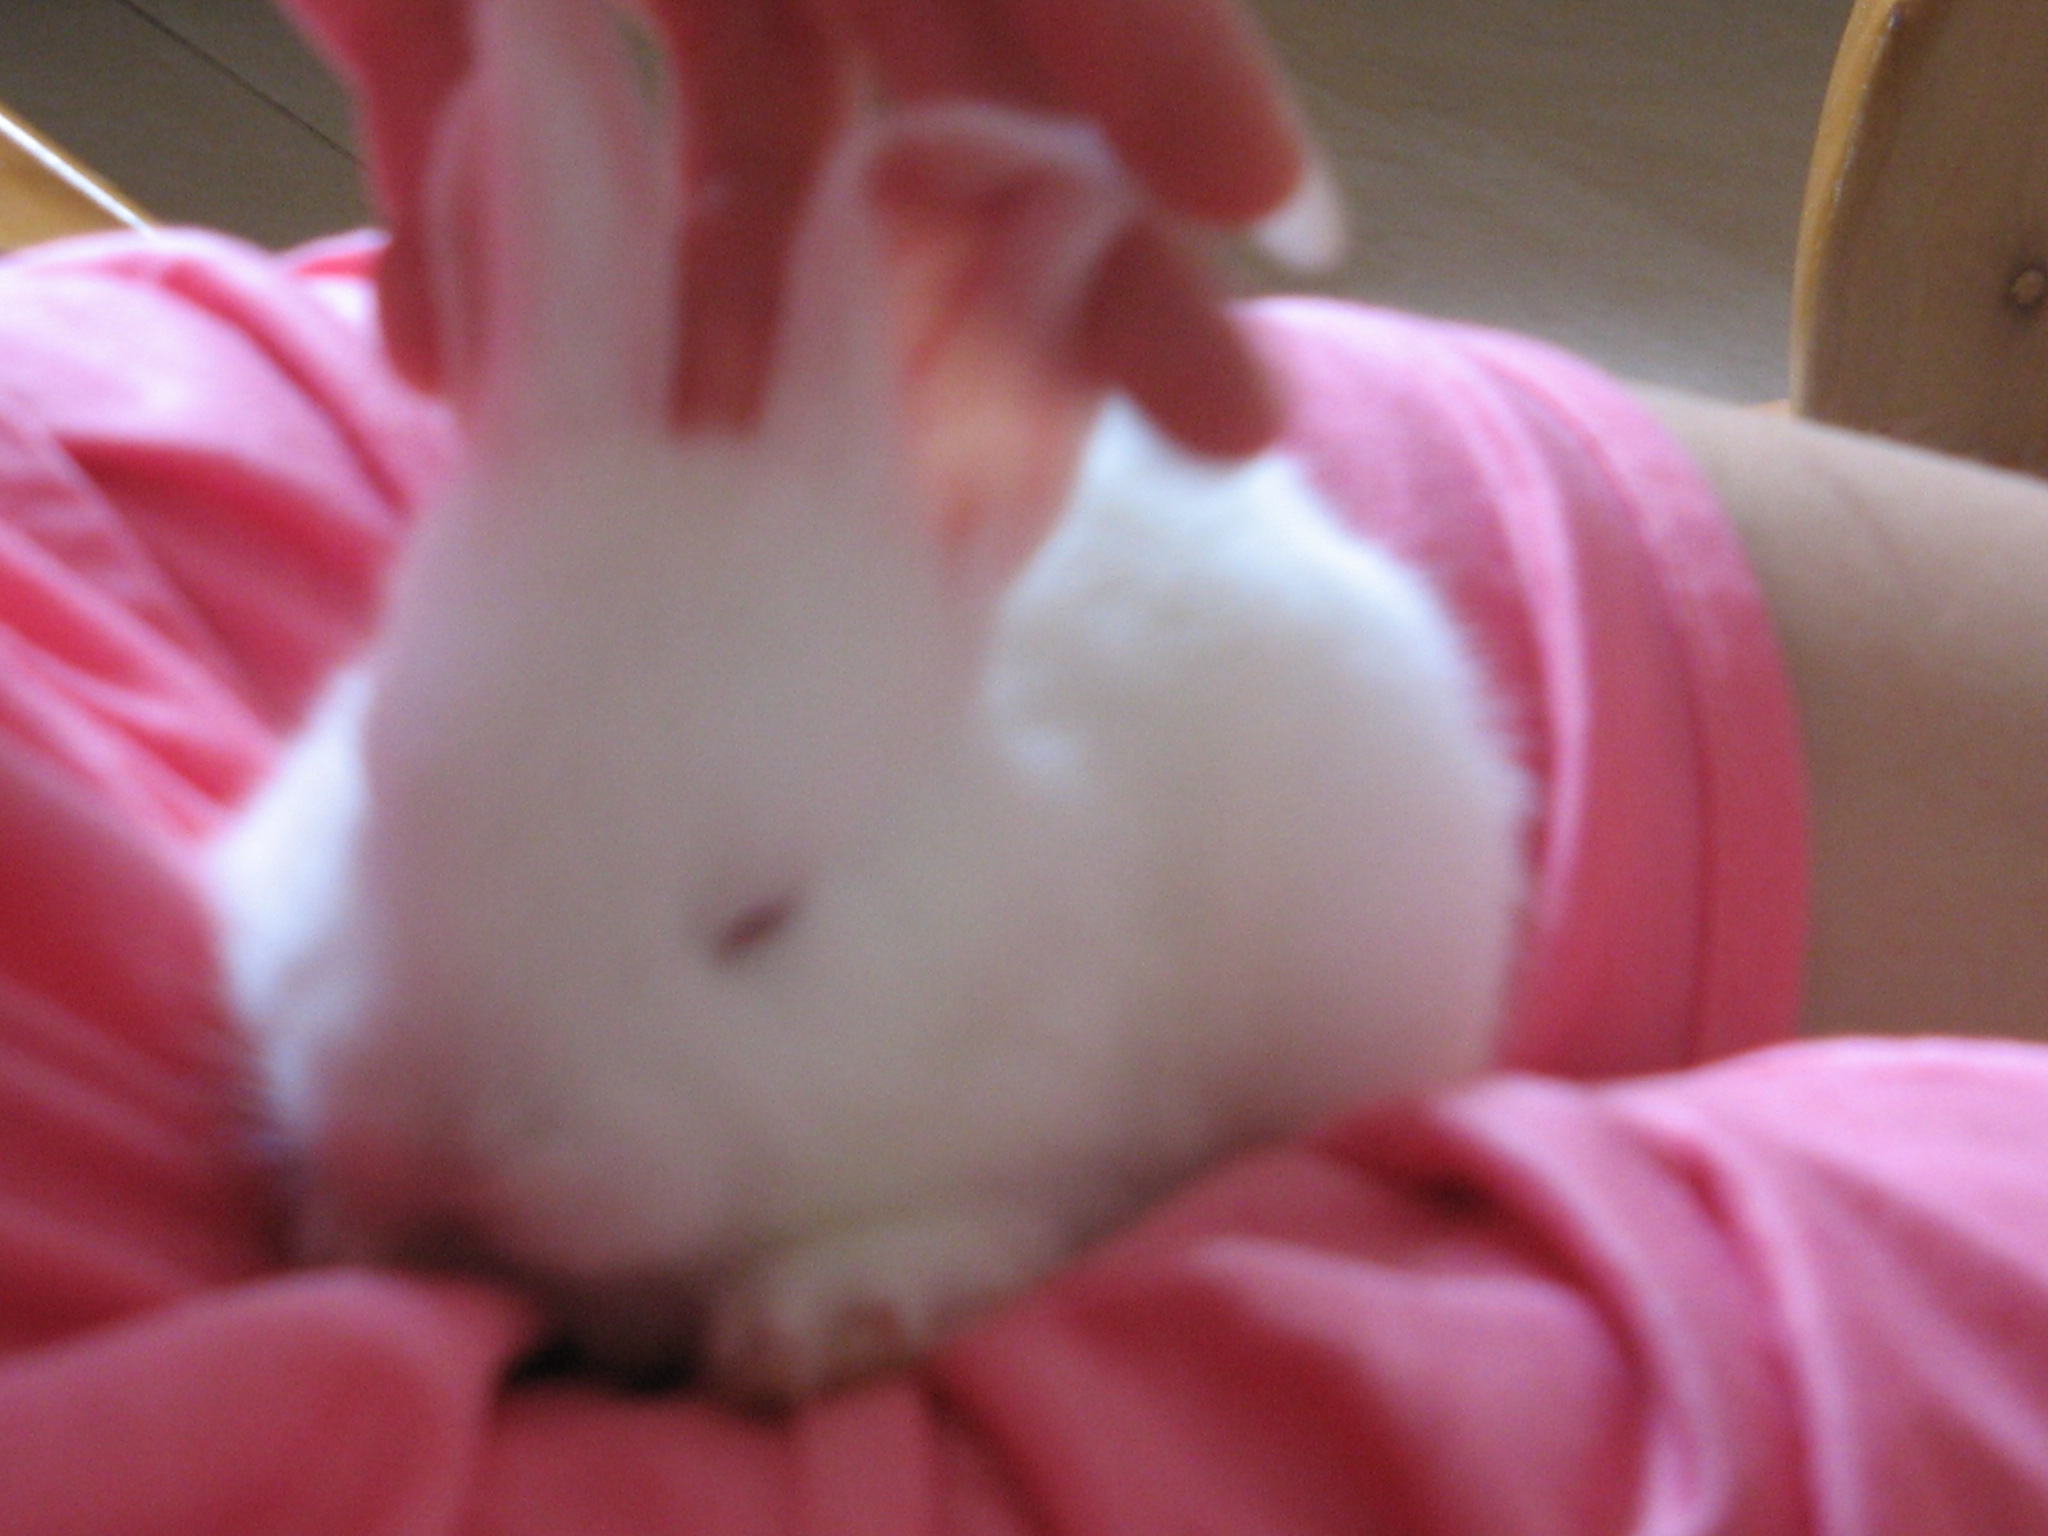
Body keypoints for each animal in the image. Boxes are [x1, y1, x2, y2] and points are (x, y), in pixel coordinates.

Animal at [208, 0, 1529, 1405]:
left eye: (763, 920)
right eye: (375, 792)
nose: (433, 1148)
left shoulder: (1061, 1120)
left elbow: (999, 1217)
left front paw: (821, 1320)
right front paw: (352, 1222)